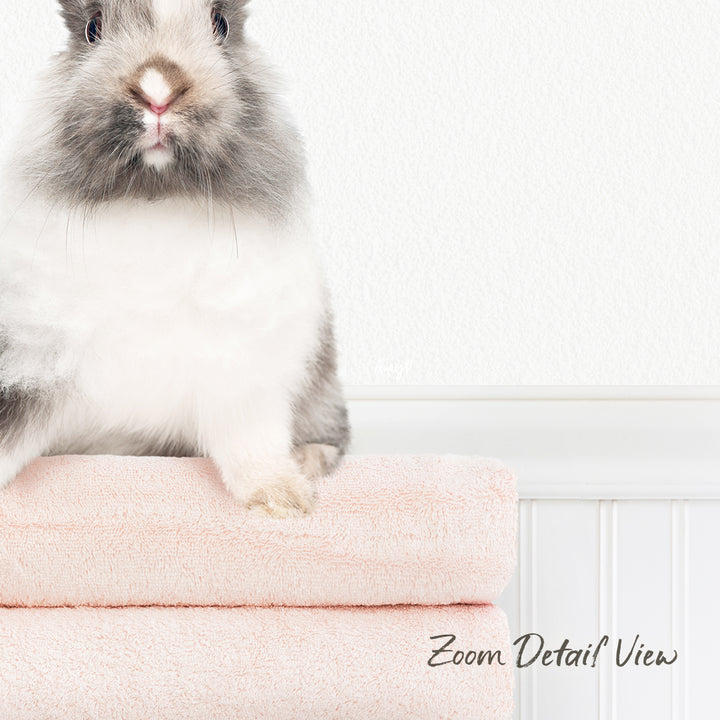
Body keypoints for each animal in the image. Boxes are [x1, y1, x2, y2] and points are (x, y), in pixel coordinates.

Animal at [0, 0, 350, 517]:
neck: (154, 201)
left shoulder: (242, 371)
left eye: (220, 25)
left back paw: (309, 459)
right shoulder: (33, 362)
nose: (157, 90)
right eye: (92, 29)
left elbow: (253, 443)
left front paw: (281, 500)